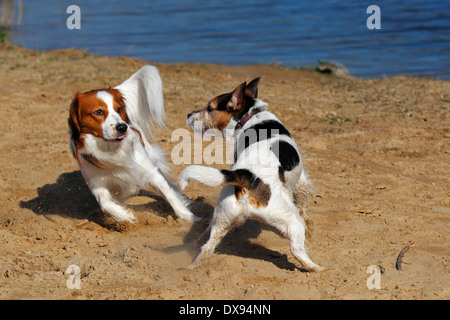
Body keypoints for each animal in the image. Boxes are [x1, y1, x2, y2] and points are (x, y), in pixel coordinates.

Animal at [68, 65, 199, 222]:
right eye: (98, 112)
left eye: (119, 109)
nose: (122, 127)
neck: (110, 148)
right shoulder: (96, 183)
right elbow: (105, 204)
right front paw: (124, 216)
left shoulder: (151, 172)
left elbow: (170, 196)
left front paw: (190, 218)